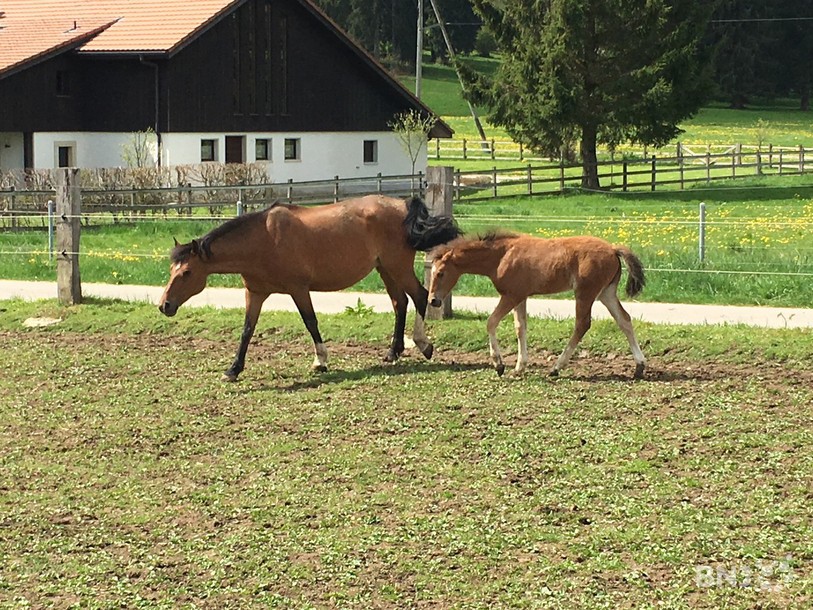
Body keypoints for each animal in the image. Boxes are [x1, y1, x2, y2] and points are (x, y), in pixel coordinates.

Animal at [158, 195, 460, 381]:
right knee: (400, 303)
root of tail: (403, 205)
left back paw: (423, 345)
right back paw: (392, 352)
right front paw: (233, 370)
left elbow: (310, 321)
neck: (263, 240)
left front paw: (320, 361)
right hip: (385, 269)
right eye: (171, 270)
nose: (164, 305)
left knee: (419, 296)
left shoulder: (298, 289)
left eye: (186, 273)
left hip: (397, 267)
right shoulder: (255, 293)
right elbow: (246, 331)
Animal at [428, 231, 647, 378]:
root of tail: (613, 249)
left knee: (582, 324)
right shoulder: (521, 297)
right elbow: (520, 327)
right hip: (606, 293)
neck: (501, 257)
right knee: (624, 319)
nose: (433, 301)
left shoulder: (510, 296)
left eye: (441, 273)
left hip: (586, 293)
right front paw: (519, 367)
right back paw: (639, 366)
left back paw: (557, 367)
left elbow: (491, 322)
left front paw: (499, 365)